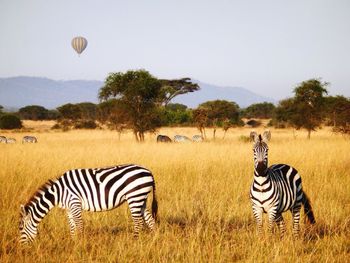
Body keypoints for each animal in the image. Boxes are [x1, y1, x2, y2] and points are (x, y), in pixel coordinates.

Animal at [17, 164, 157, 244]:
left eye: (21, 229)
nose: (21, 249)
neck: (58, 193)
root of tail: (149, 171)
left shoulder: (74, 203)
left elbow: (79, 225)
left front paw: (81, 245)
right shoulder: (69, 208)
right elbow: (72, 227)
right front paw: (73, 243)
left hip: (135, 197)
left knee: (138, 222)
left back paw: (134, 241)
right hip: (141, 198)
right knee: (150, 220)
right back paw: (155, 239)